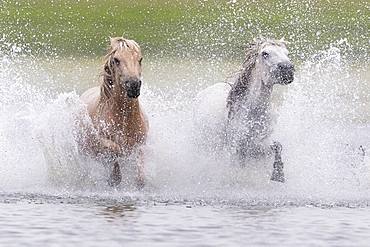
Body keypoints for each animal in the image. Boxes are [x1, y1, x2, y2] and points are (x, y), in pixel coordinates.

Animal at [80, 37, 148, 187]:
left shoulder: (141, 143)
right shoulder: (102, 142)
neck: (124, 119)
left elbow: (140, 177)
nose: (133, 85)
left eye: (140, 59)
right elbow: (115, 151)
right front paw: (114, 177)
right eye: (116, 60)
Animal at [194, 37, 294, 182]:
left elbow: (277, 146)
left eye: (287, 53)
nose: (288, 70)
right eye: (265, 53)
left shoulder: (258, 145)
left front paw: (278, 175)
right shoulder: (236, 149)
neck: (253, 113)